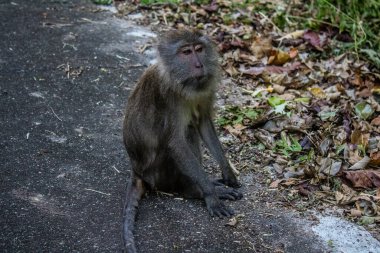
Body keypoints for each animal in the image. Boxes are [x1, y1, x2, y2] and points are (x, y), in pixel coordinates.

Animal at [123, 28, 242, 252]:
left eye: (199, 49)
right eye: (186, 52)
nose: (199, 65)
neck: (182, 81)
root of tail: (137, 171)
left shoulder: (204, 90)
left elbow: (204, 123)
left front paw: (228, 172)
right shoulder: (167, 96)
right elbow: (176, 143)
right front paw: (211, 195)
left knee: (192, 130)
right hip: (159, 174)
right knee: (186, 135)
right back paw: (194, 191)